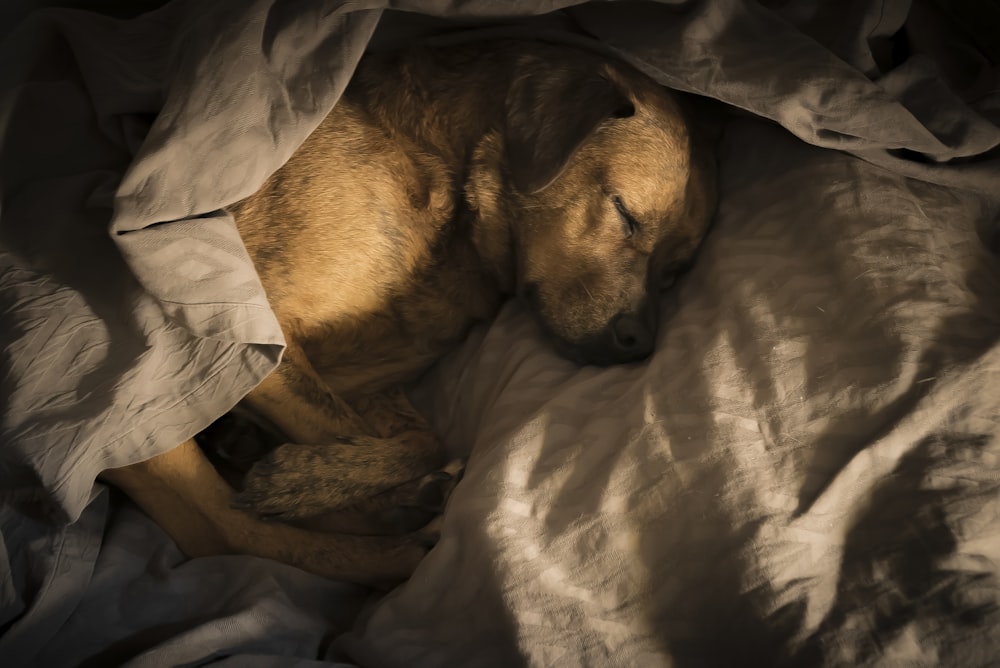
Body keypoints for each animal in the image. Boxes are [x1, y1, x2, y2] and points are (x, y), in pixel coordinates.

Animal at [101, 40, 716, 584]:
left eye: (673, 272)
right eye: (624, 214)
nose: (640, 342)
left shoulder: (361, 383)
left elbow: (417, 438)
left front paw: (322, 477)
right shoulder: (249, 334)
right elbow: (402, 441)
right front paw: (304, 482)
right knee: (227, 532)